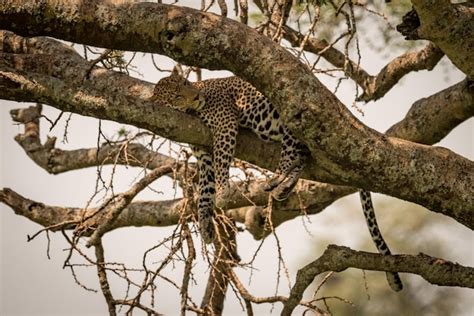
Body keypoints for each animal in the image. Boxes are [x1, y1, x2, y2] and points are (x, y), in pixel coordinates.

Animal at [153, 68, 404, 292]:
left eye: (186, 83)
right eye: (176, 96)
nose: (196, 96)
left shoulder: (224, 125)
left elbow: (222, 161)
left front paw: (224, 191)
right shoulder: (203, 155)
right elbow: (205, 192)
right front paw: (205, 224)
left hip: (292, 120)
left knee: (292, 154)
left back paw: (275, 181)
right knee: (300, 158)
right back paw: (283, 187)